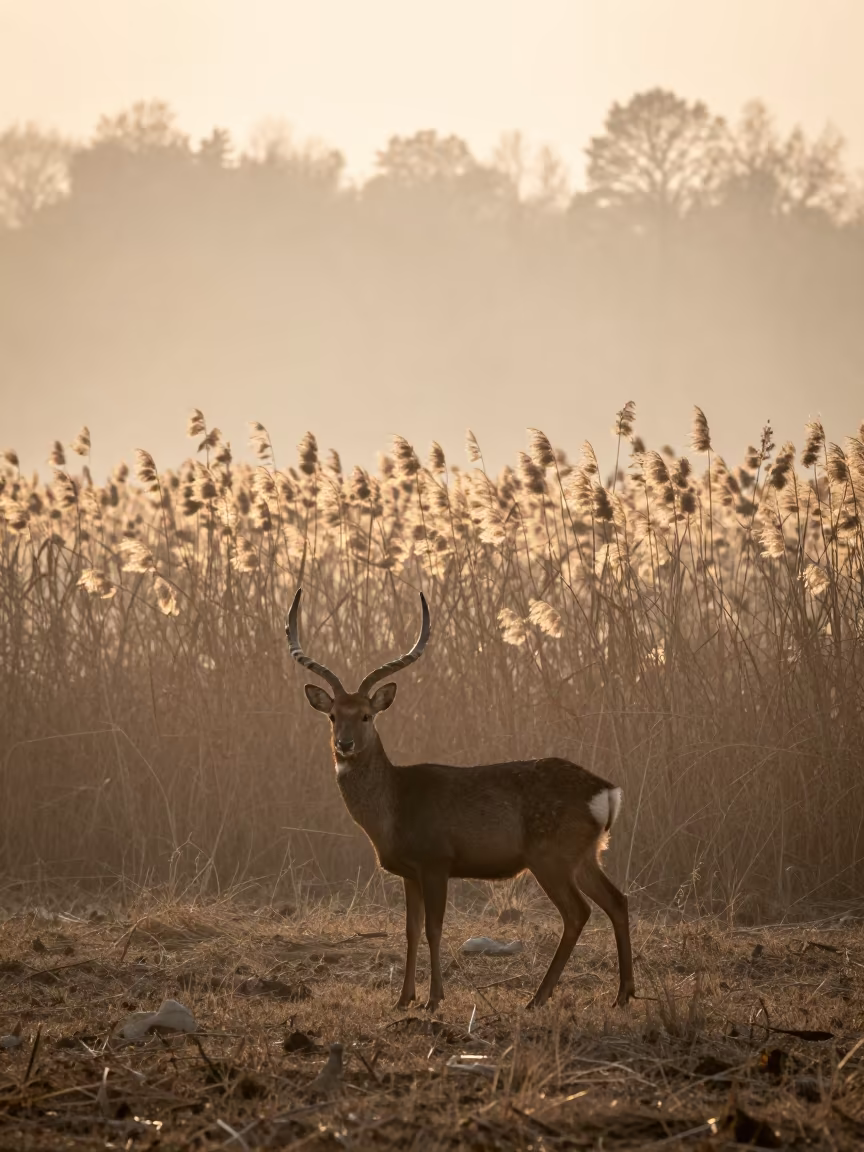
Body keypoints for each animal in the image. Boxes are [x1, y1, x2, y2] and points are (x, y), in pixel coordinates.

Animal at [286, 587, 635, 1013]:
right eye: (333, 715)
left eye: (367, 715)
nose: (345, 744)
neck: (394, 810)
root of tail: (606, 791)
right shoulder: (409, 871)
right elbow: (410, 929)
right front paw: (403, 999)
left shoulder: (437, 859)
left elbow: (434, 929)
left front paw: (434, 998)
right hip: (585, 853)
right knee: (617, 901)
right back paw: (622, 994)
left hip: (550, 854)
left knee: (577, 912)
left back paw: (539, 997)